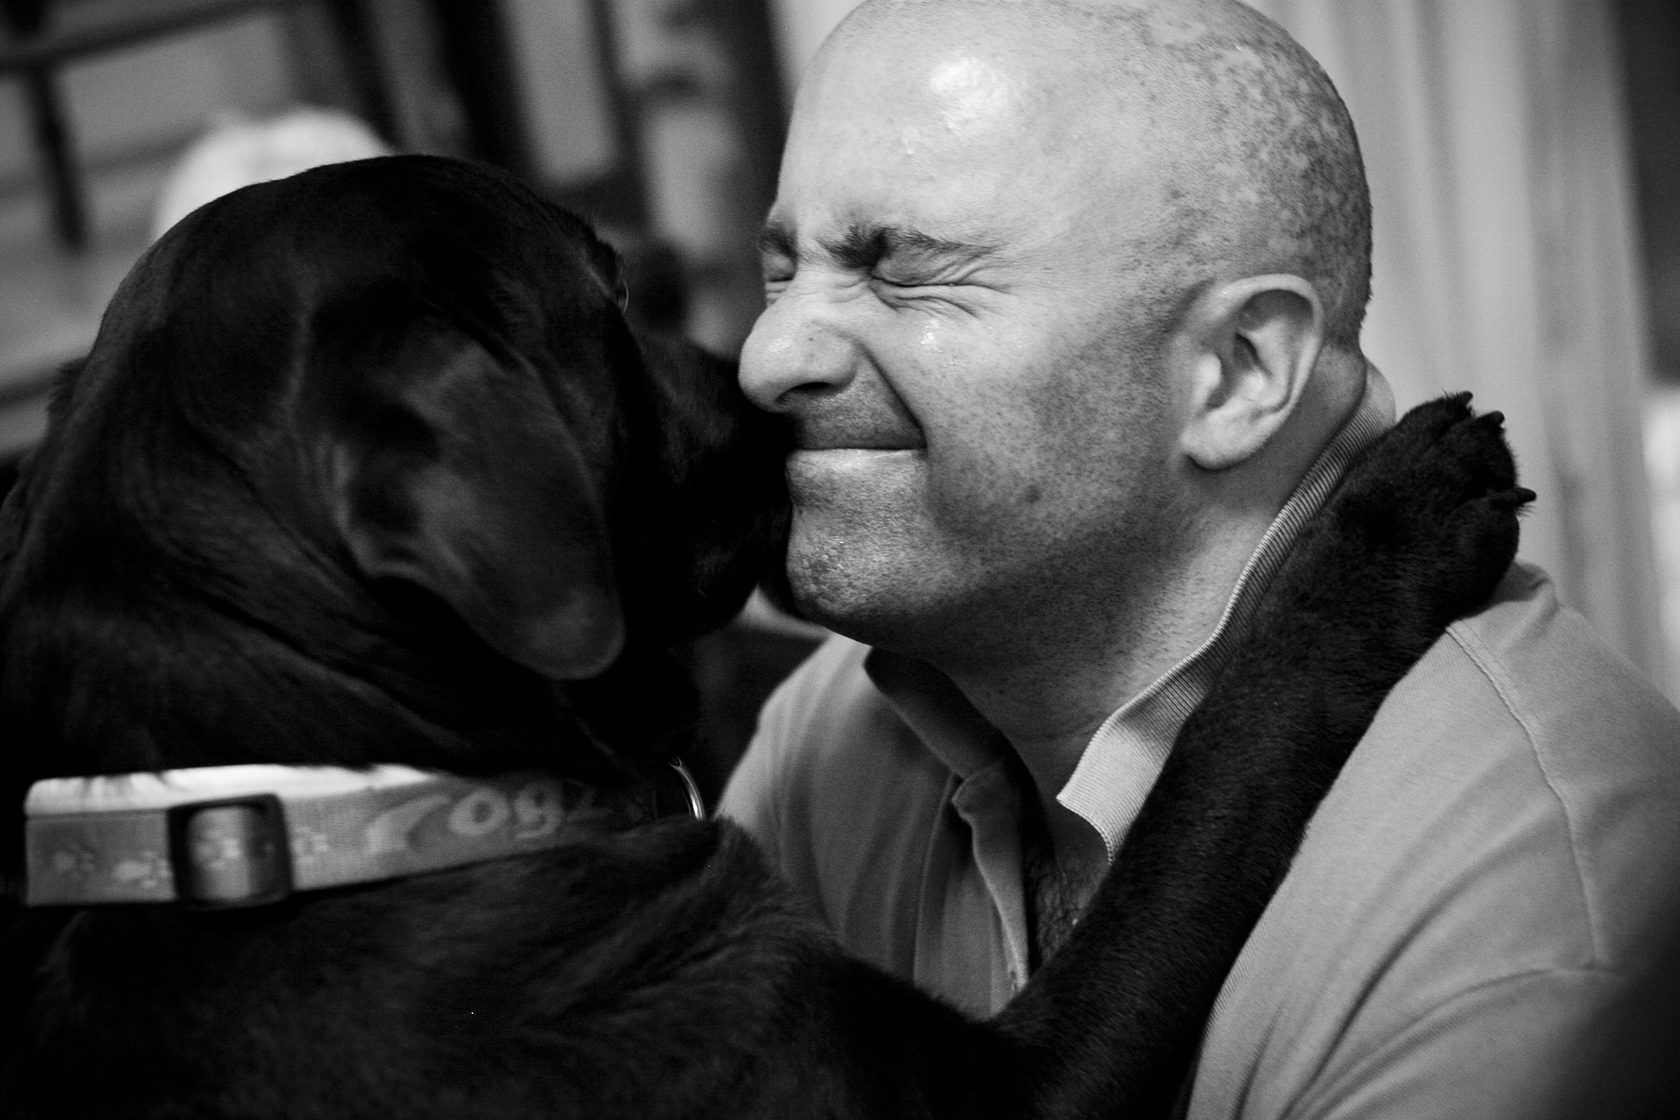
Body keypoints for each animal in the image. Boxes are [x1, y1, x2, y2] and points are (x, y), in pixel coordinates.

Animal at [0, 154, 1530, 1118]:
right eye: (615, 294)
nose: (764, 392)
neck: (341, 803)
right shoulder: (1001, 1089)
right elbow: (1201, 801)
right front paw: (1378, 531)